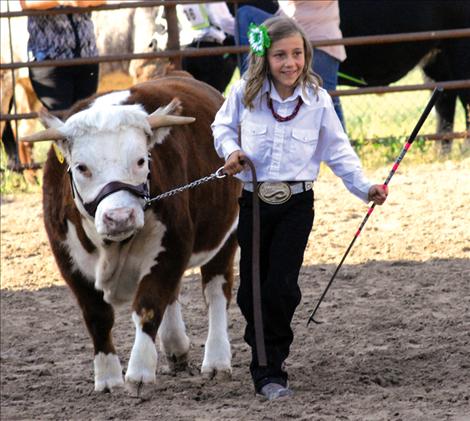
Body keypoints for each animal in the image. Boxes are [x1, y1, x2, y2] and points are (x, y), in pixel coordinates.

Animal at [23, 77, 241, 392]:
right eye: (81, 167)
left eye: (141, 161)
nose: (119, 217)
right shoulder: (68, 259)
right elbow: (97, 316)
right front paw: (107, 377)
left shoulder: (172, 246)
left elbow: (149, 306)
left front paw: (139, 372)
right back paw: (175, 347)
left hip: (225, 234)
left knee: (215, 292)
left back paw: (216, 360)